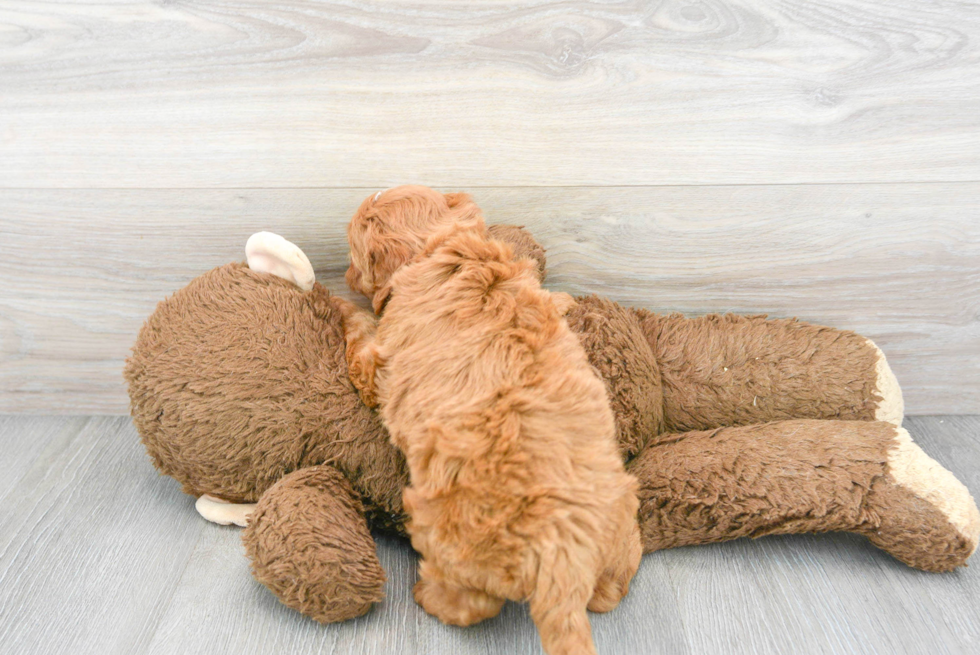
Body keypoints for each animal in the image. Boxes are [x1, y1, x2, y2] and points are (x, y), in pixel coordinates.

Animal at [336, 184, 644, 655]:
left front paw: (338, 306)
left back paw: (429, 597)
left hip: (449, 540)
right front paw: (565, 301)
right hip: (623, 519)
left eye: (355, 256)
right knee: (614, 584)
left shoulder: (377, 367)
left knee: (471, 605)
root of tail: (563, 557)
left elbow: (360, 340)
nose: (345, 276)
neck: (445, 249)